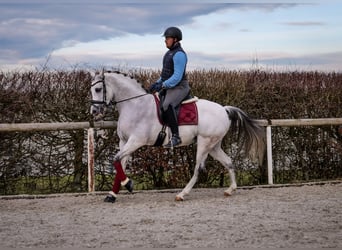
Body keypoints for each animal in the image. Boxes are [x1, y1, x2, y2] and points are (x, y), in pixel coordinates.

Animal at [90, 70, 264, 201]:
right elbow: (120, 163)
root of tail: (224, 109)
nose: (94, 111)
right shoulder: (124, 141)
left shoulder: (136, 141)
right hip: (213, 145)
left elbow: (116, 159)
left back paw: (182, 194)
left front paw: (128, 184)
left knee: (198, 169)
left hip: (204, 143)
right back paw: (230, 189)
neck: (134, 105)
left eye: (98, 89)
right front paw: (112, 194)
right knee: (228, 162)